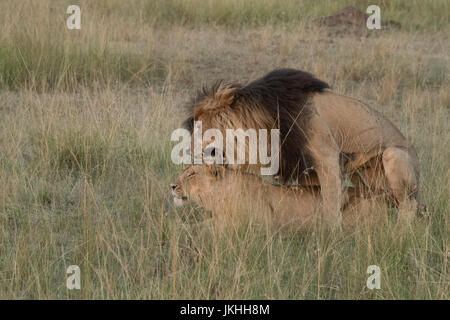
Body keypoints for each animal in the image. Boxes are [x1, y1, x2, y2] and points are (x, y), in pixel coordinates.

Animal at [181, 69, 420, 226]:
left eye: (202, 135)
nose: (190, 155)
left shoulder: (328, 159)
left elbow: (331, 206)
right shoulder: (304, 169)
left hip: (393, 156)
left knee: (410, 207)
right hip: (365, 176)